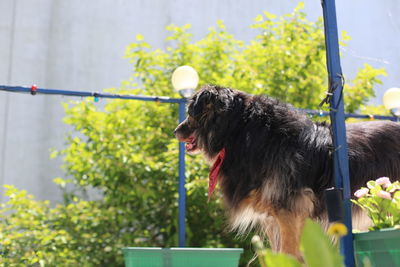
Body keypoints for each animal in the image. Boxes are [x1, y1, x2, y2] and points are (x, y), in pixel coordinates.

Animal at [174, 84, 400, 260]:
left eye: (190, 114)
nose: (175, 131)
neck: (240, 132)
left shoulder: (289, 209)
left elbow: (290, 252)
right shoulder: (274, 216)